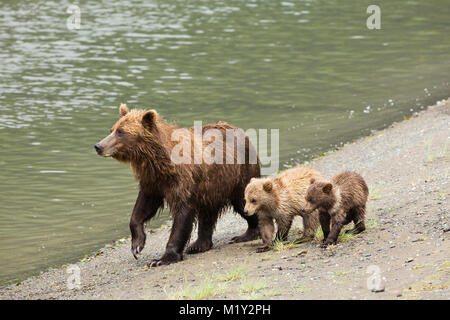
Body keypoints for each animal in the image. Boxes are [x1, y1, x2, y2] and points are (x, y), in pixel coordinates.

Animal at [95, 104, 260, 266]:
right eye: (112, 129)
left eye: (121, 132)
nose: (98, 146)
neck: (159, 162)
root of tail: (241, 132)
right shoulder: (153, 181)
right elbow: (143, 207)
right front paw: (137, 245)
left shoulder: (182, 180)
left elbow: (182, 212)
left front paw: (162, 259)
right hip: (212, 186)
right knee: (207, 213)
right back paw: (198, 245)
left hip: (239, 175)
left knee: (244, 202)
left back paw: (248, 233)